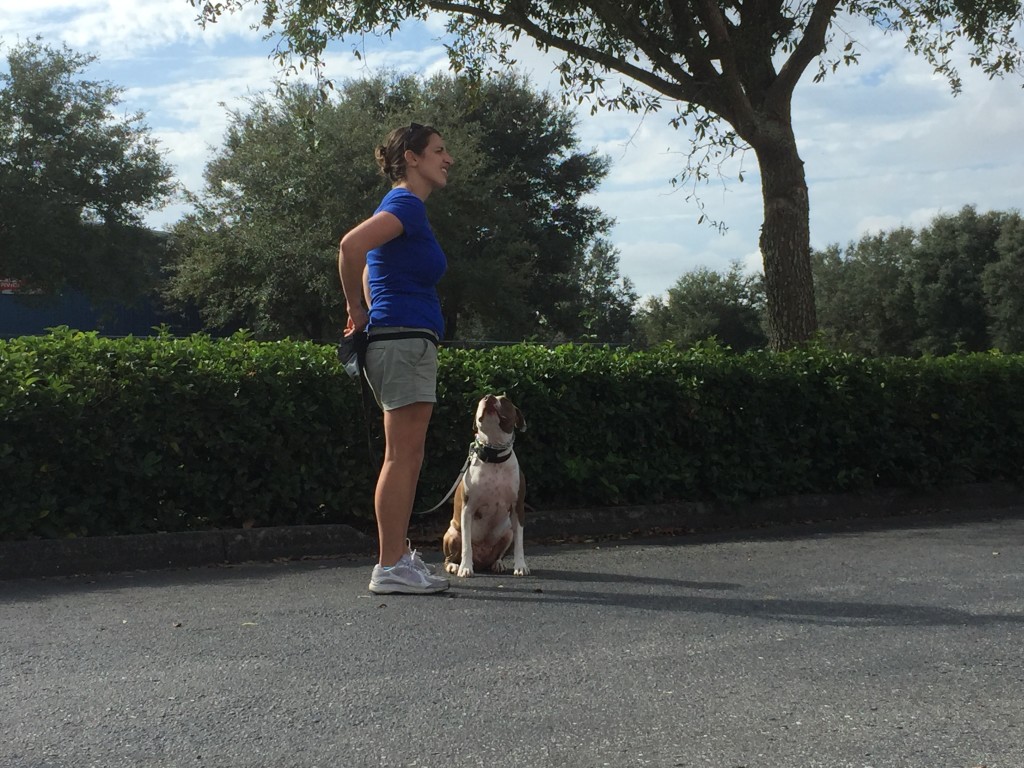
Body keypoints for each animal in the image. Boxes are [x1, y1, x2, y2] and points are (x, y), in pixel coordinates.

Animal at [444, 397, 532, 577]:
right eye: (481, 399)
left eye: (504, 400)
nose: (489, 396)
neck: (494, 455)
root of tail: (481, 562)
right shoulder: (467, 509)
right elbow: (466, 545)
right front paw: (465, 568)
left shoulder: (518, 508)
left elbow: (520, 542)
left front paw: (520, 566)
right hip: (452, 533)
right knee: (449, 557)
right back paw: (454, 566)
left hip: (507, 533)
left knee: (499, 553)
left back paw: (498, 564)